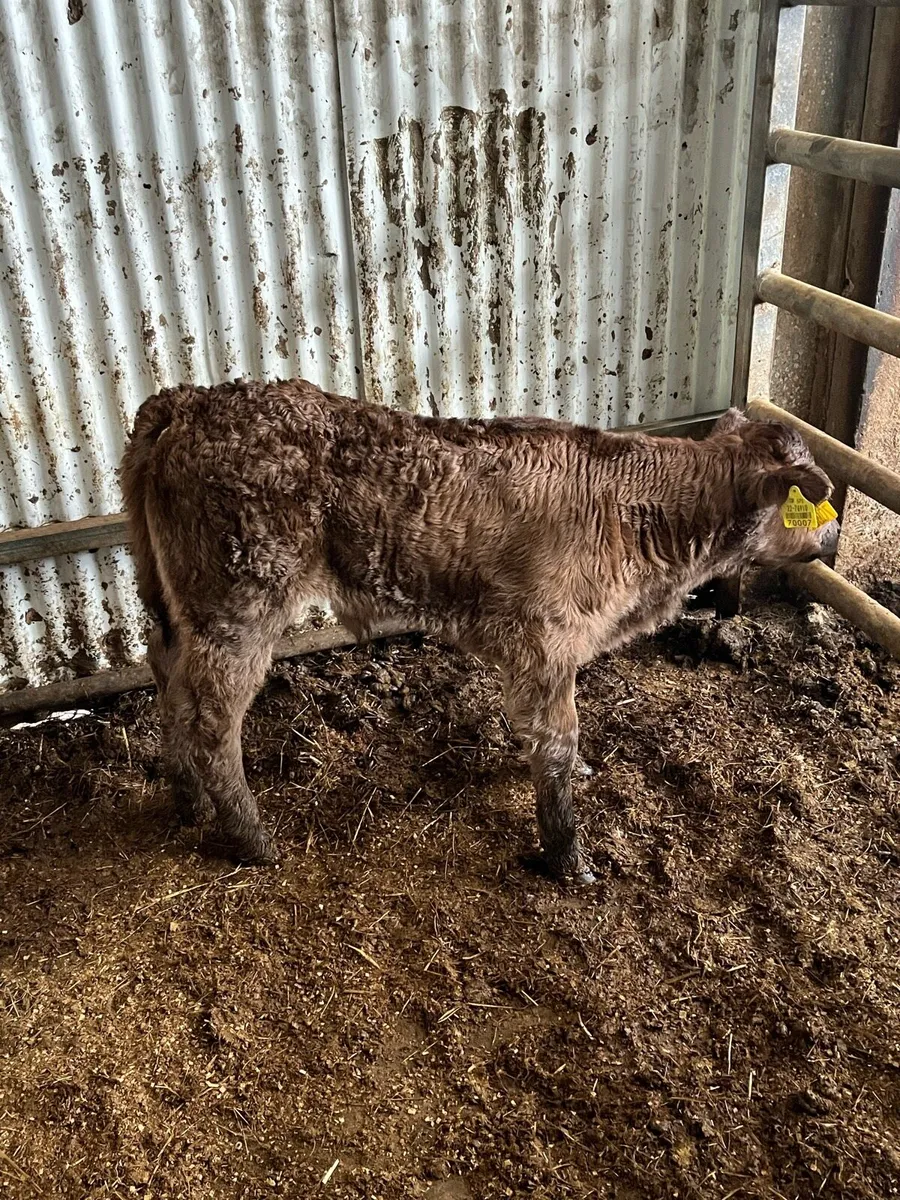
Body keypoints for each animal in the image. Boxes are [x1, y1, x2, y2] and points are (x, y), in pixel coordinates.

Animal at [120, 379, 838, 882]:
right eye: (815, 501)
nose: (834, 536)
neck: (637, 510)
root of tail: (189, 401)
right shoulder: (548, 644)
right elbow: (556, 743)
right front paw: (568, 859)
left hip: (182, 610)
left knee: (168, 681)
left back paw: (188, 801)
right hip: (238, 608)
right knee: (211, 718)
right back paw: (251, 839)